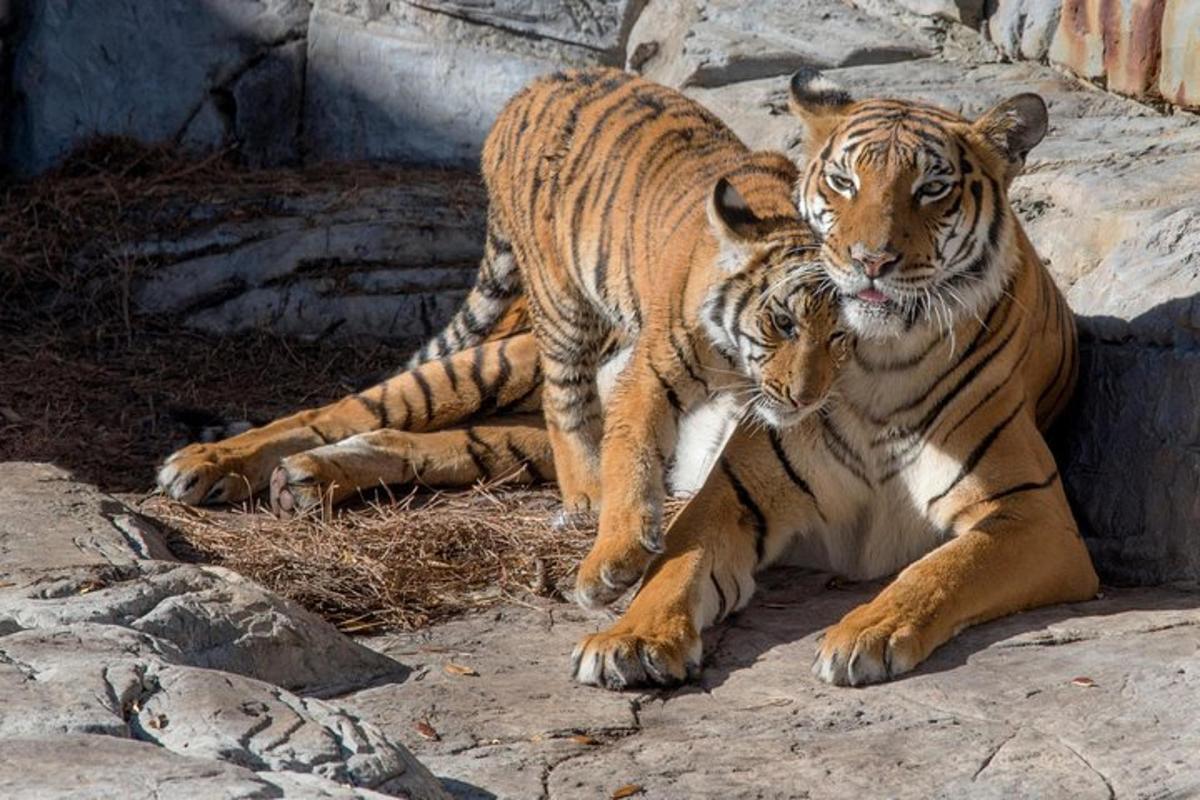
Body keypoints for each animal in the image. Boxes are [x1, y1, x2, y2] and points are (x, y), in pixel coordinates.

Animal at [566, 68, 1099, 690]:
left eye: (931, 189)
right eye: (845, 182)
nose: (872, 261)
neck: (881, 364)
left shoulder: (1033, 514)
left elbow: (944, 568)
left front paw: (865, 633)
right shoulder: (732, 495)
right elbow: (676, 565)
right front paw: (628, 639)